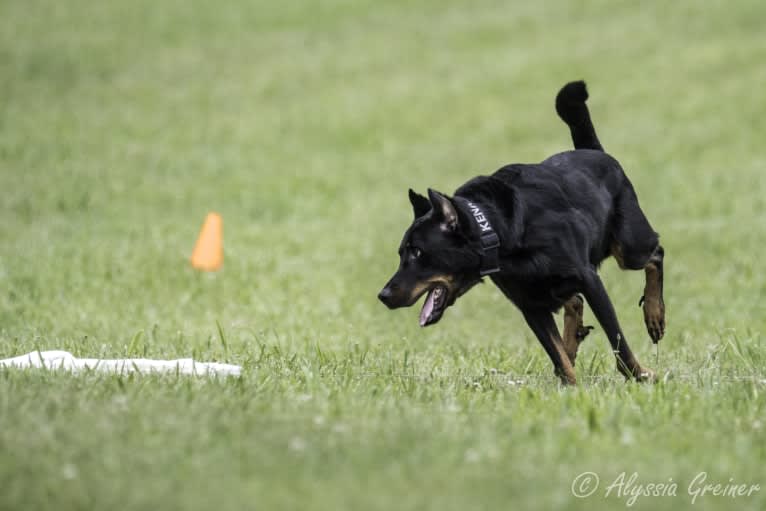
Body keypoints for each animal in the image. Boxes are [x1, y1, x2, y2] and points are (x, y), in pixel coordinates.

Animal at [378, 81, 664, 384]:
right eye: (401, 253)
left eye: (417, 252)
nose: (382, 295)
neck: (500, 236)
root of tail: (595, 151)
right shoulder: (530, 306)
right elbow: (558, 356)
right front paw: (572, 385)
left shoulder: (590, 281)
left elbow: (617, 338)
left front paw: (640, 374)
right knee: (574, 302)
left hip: (630, 247)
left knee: (655, 254)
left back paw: (655, 315)